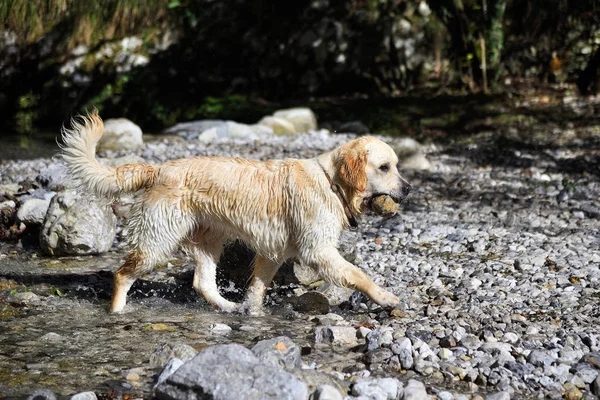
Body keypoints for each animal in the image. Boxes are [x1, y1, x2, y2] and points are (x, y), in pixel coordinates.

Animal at [58, 111, 410, 314]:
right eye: (384, 167)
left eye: (397, 165)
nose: (408, 189)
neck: (331, 182)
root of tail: (159, 169)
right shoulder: (318, 250)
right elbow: (358, 274)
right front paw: (385, 297)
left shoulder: (273, 252)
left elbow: (256, 288)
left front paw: (252, 312)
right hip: (158, 239)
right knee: (122, 274)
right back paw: (117, 312)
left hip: (209, 240)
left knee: (202, 283)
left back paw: (228, 306)